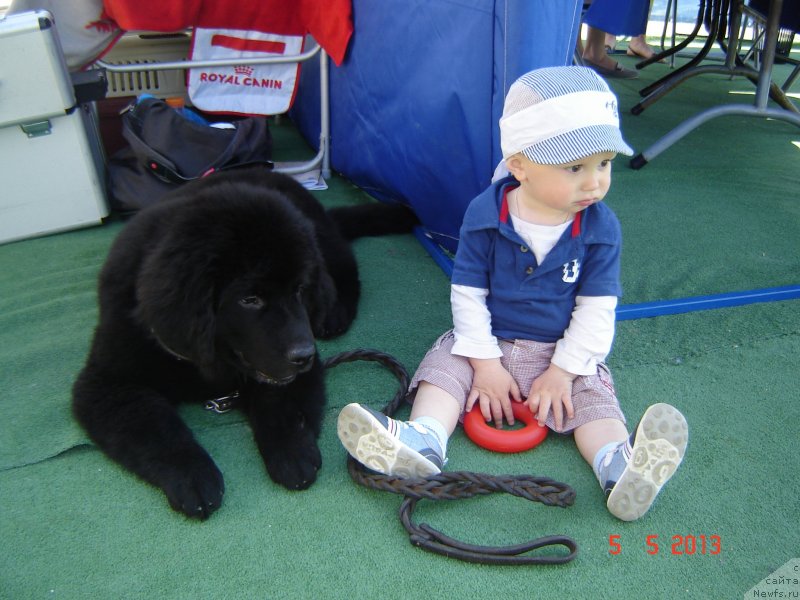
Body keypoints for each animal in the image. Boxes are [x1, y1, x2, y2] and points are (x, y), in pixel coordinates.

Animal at [73, 166, 418, 516]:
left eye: (298, 290)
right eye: (250, 300)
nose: (303, 355)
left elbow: (278, 402)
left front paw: (292, 451)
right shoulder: (108, 384)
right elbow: (158, 428)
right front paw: (192, 475)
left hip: (323, 241)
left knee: (342, 272)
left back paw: (334, 314)